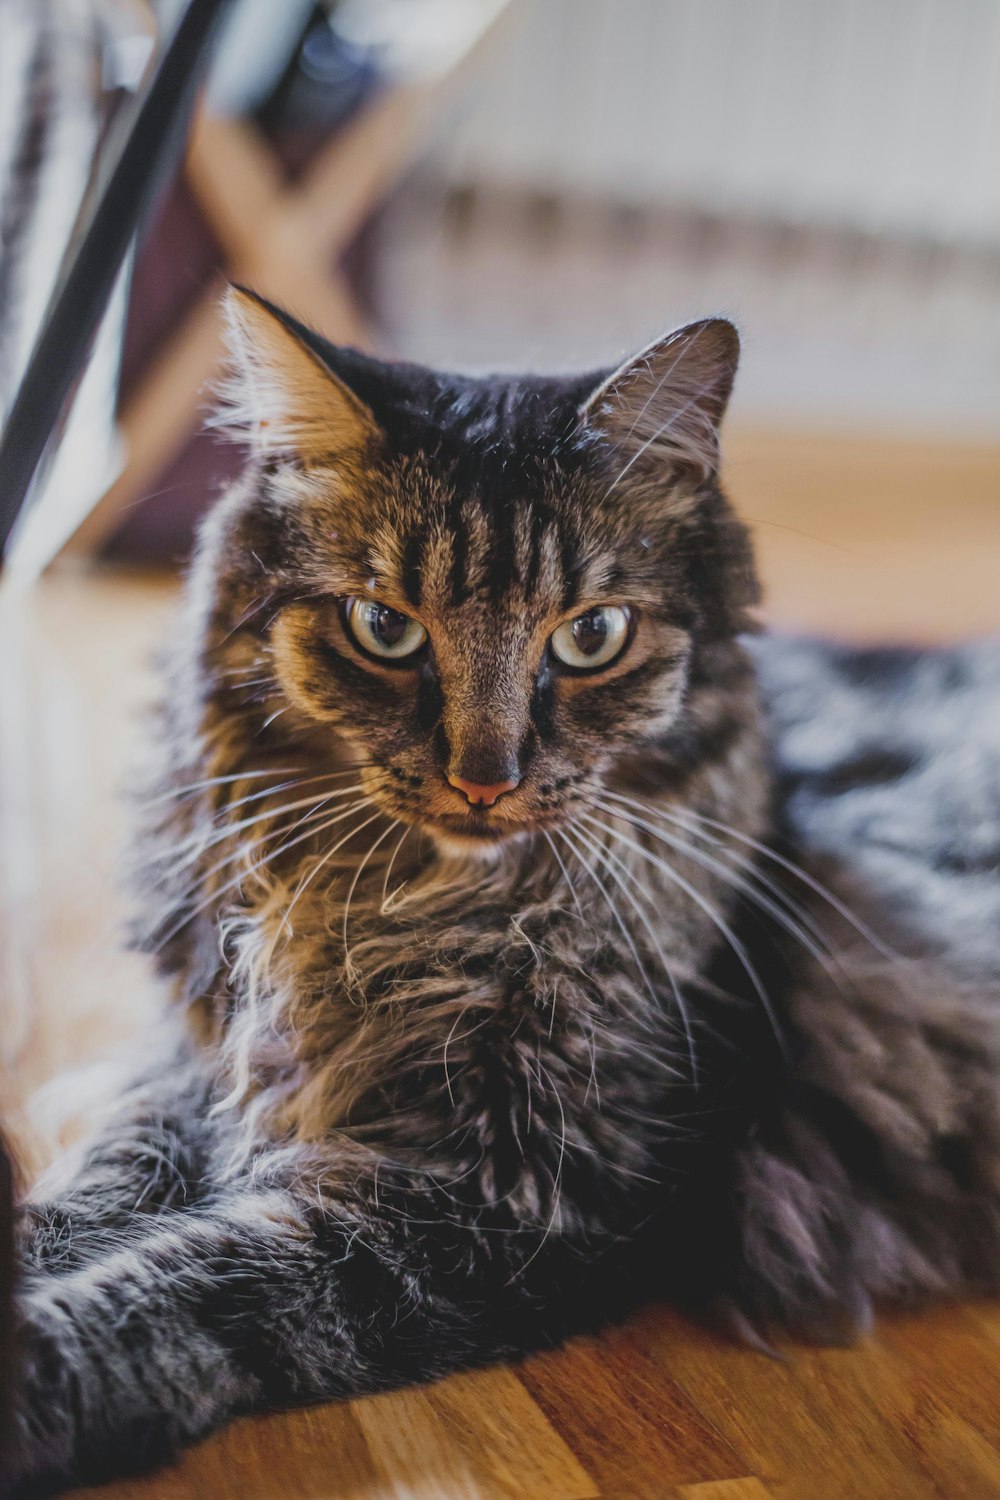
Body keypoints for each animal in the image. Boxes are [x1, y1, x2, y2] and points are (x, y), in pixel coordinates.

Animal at [1, 286, 1000, 1494]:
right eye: (384, 628)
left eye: (592, 637)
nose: (486, 779)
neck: (393, 911)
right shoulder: (201, 1057)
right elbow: (104, 1182)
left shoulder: (515, 1203)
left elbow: (194, 1291)